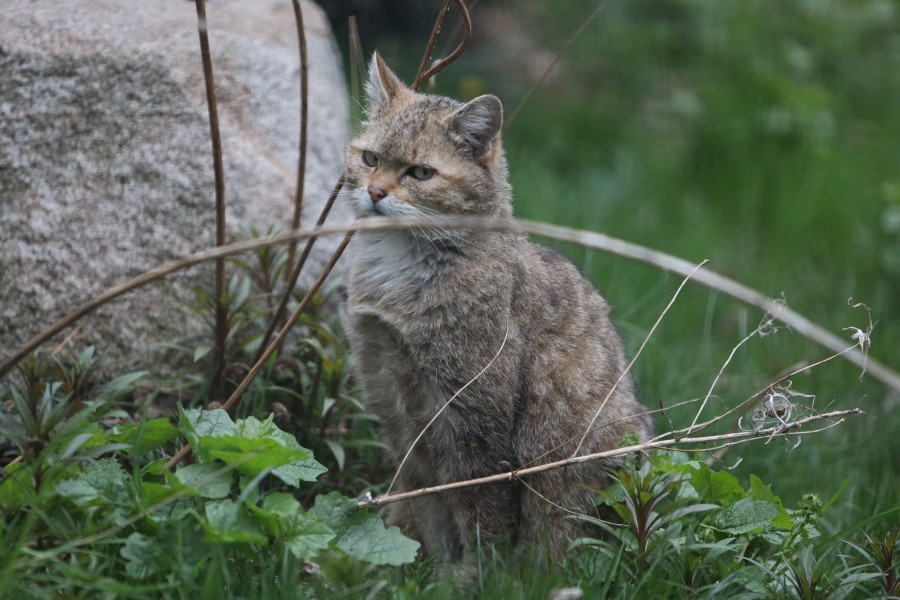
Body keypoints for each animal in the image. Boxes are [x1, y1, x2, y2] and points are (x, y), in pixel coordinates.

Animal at [342, 52, 652, 564]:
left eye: (420, 173)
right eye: (370, 158)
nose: (374, 192)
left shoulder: (476, 419)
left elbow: (481, 514)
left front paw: (474, 572)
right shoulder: (395, 408)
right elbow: (428, 508)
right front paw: (434, 565)